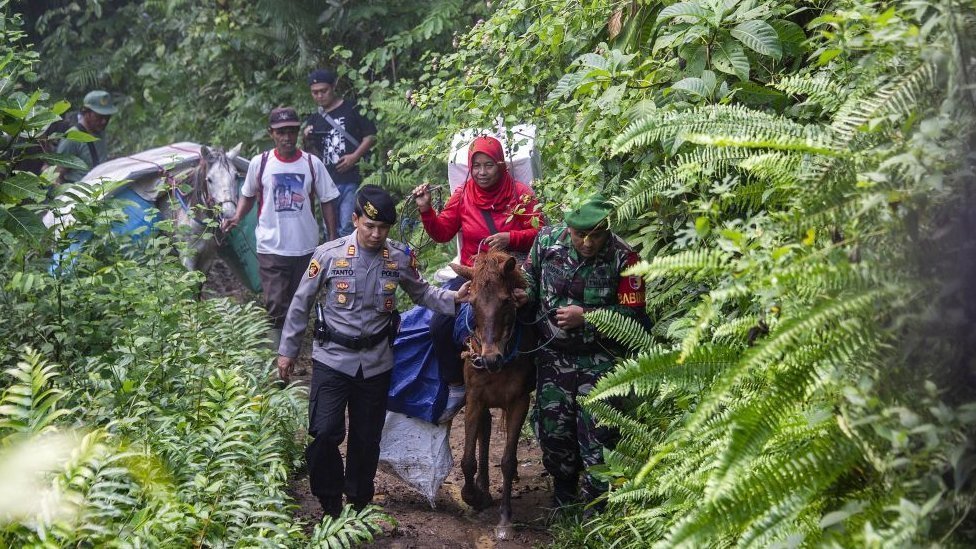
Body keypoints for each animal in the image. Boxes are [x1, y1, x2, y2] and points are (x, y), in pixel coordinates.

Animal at [454, 250, 536, 540]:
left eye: (506, 301)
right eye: (472, 302)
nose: (490, 360)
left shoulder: (520, 401)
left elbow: (508, 461)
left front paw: (504, 519)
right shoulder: (474, 398)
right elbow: (467, 460)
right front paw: (474, 497)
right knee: (485, 432)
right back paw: (483, 488)